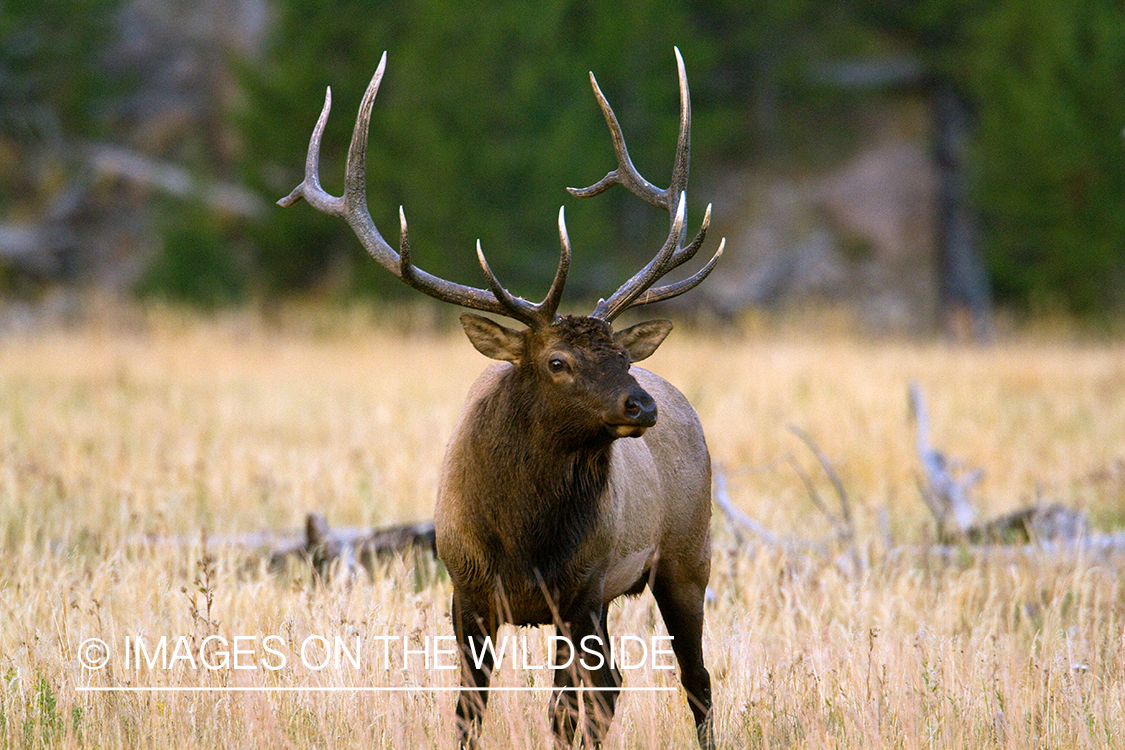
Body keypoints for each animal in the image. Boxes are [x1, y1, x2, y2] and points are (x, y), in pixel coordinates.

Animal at [280, 49, 720, 746]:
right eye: (557, 362)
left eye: (623, 357)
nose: (640, 406)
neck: (523, 542)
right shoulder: (465, 591)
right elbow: (469, 709)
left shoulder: (580, 592)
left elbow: (566, 709)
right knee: (617, 686)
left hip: (685, 556)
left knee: (690, 680)